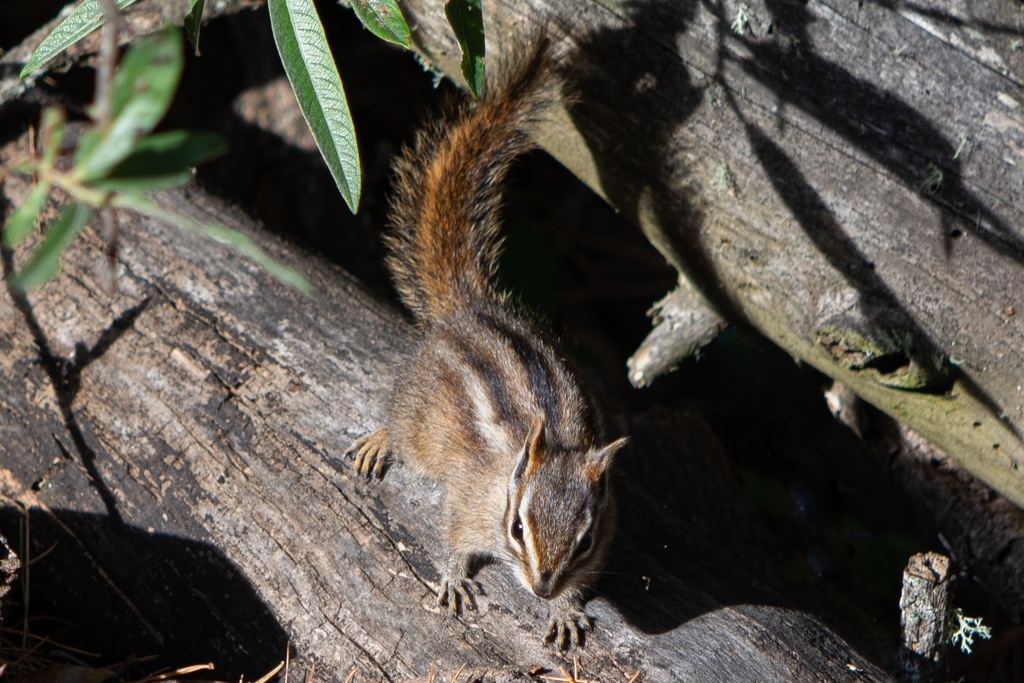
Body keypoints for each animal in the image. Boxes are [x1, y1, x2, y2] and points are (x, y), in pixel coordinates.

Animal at [345, 36, 628, 651]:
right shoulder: (466, 502)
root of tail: (470, 309)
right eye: (517, 526)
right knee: (401, 426)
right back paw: (380, 440)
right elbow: (452, 538)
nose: (542, 588)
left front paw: (565, 610)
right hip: (419, 419)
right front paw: (453, 578)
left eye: (584, 541)